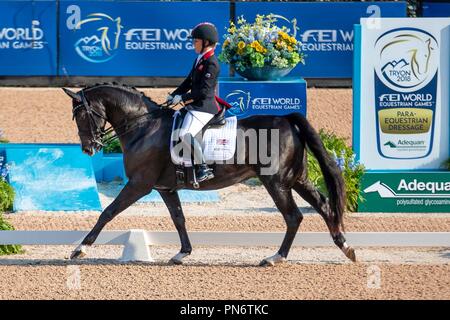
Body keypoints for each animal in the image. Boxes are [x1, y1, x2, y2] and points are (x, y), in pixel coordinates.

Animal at [61, 84, 356, 266]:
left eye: (82, 116)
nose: (89, 148)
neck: (144, 126)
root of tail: (286, 119)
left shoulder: (139, 184)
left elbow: (108, 212)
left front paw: (80, 249)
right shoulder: (165, 188)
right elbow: (179, 219)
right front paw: (183, 253)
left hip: (276, 182)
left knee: (294, 216)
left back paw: (275, 258)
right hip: (297, 179)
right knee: (325, 206)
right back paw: (346, 248)